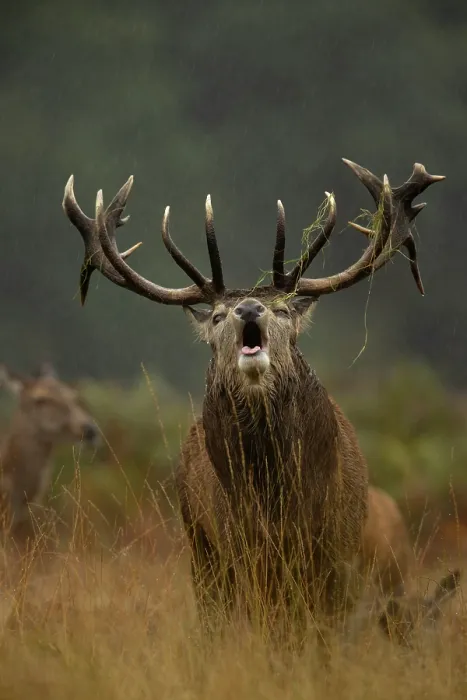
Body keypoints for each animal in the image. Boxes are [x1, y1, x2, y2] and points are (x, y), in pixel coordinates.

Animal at [62, 157, 444, 647]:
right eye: (218, 316)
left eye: (282, 310)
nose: (248, 309)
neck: (278, 499)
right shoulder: (239, 546)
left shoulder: (337, 549)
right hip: (200, 546)